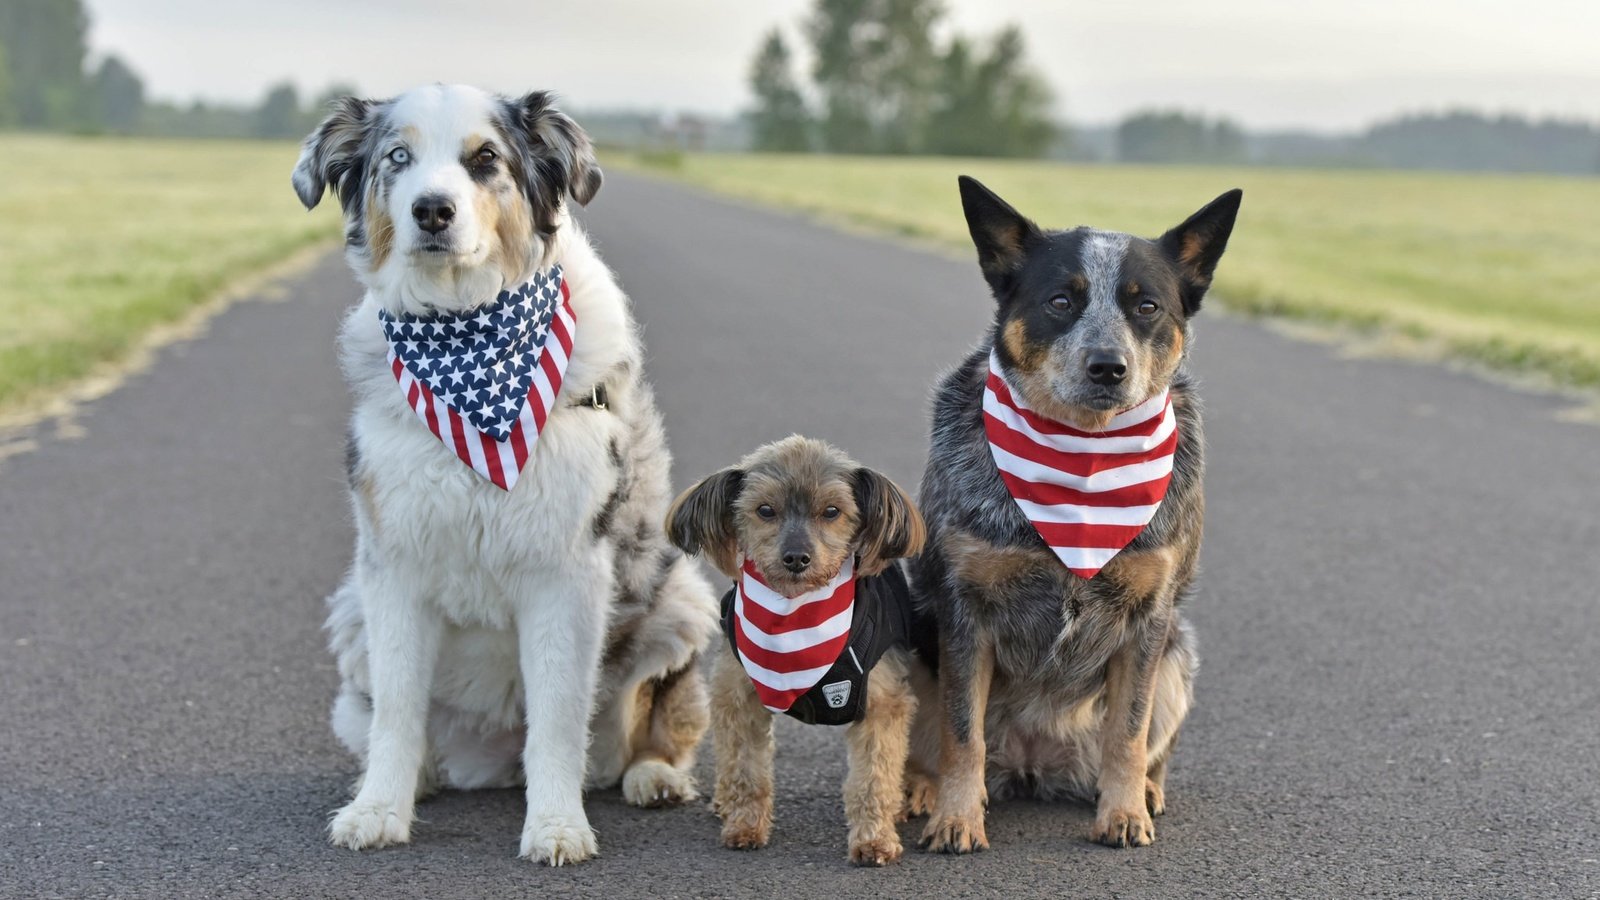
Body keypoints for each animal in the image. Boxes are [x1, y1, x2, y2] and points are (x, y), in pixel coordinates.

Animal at [291, 85, 716, 864]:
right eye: (398, 158)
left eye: (485, 159)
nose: (432, 210)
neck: (469, 329)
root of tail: (491, 754)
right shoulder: (393, 566)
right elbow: (397, 710)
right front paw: (377, 810)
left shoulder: (567, 570)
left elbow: (558, 715)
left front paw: (556, 826)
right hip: (350, 614)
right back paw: (421, 779)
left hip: (680, 596)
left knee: (648, 720)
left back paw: (653, 777)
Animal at [665, 435, 934, 864]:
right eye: (764, 510)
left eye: (832, 511)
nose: (796, 557)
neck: (794, 616)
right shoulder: (737, 697)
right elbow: (745, 770)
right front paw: (745, 826)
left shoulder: (882, 703)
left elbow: (873, 779)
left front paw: (874, 839)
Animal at [915, 173, 1235, 845]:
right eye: (1061, 301)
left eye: (1147, 306)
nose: (1108, 367)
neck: (1083, 459)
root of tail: (1035, 765)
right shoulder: (964, 609)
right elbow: (961, 732)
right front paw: (956, 817)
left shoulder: (1148, 619)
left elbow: (1128, 731)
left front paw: (1123, 813)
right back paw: (922, 791)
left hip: (1179, 652)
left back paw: (1147, 791)